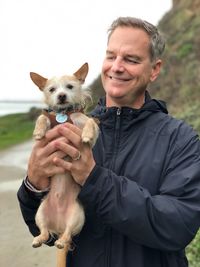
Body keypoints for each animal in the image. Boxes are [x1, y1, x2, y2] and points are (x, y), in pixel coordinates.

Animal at [29, 63, 99, 267]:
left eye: (69, 87)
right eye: (52, 90)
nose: (61, 96)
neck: (63, 114)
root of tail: (58, 225)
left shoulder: (87, 125)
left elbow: (91, 122)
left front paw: (86, 135)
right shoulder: (49, 120)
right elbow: (42, 117)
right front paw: (38, 131)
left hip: (77, 217)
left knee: (67, 235)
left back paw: (61, 241)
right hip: (40, 214)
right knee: (44, 232)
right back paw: (38, 239)